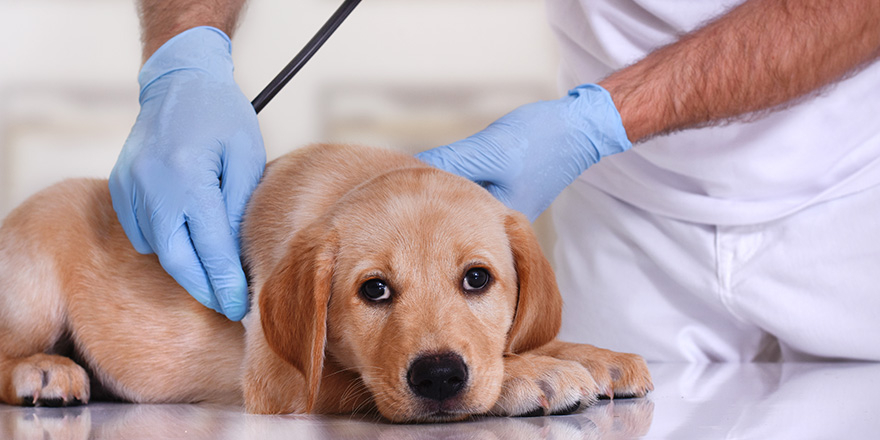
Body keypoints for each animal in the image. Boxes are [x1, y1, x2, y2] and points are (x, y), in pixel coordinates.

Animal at [0, 145, 648, 422]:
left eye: (477, 279)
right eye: (374, 290)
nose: (439, 377)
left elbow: (526, 339)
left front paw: (593, 356)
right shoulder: (276, 381)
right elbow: (354, 380)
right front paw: (531, 374)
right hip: (35, 285)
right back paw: (46, 371)